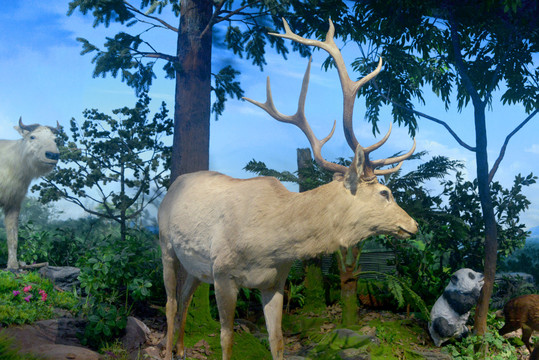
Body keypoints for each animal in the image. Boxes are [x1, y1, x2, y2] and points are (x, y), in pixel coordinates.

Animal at [158, 17, 420, 360]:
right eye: (384, 193)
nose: (413, 225)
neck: (271, 241)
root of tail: (173, 185)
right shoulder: (223, 272)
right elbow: (226, 338)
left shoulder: (275, 280)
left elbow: (278, 340)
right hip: (165, 242)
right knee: (170, 302)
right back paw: (166, 351)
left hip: (197, 264)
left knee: (186, 297)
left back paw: (181, 350)